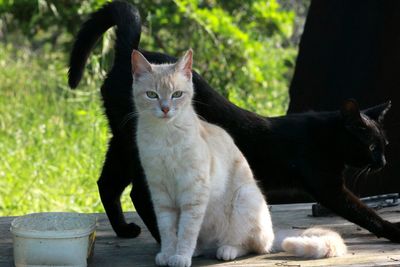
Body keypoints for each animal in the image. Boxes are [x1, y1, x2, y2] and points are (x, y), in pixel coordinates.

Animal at [69, 2, 400, 244]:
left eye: (384, 145)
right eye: (372, 146)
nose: (383, 162)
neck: (323, 136)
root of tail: (131, 53)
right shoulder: (329, 188)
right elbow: (364, 213)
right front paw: (393, 231)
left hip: (121, 141)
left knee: (107, 184)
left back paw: (125, 230)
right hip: (141, 148)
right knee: (139, 193)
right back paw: (167, 241)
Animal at [131, 48, 346, 267]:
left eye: (177, 94)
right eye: (152, 95)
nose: (165, 109)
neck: (164, 136)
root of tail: (272, 234)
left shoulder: (194, 194)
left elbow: (187, 232)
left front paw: (181, 256)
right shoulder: (160, 194)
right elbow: (167, 231)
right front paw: (168, 253)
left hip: (244, 198)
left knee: (251, 245)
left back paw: (227, 250)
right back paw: (198, 250)